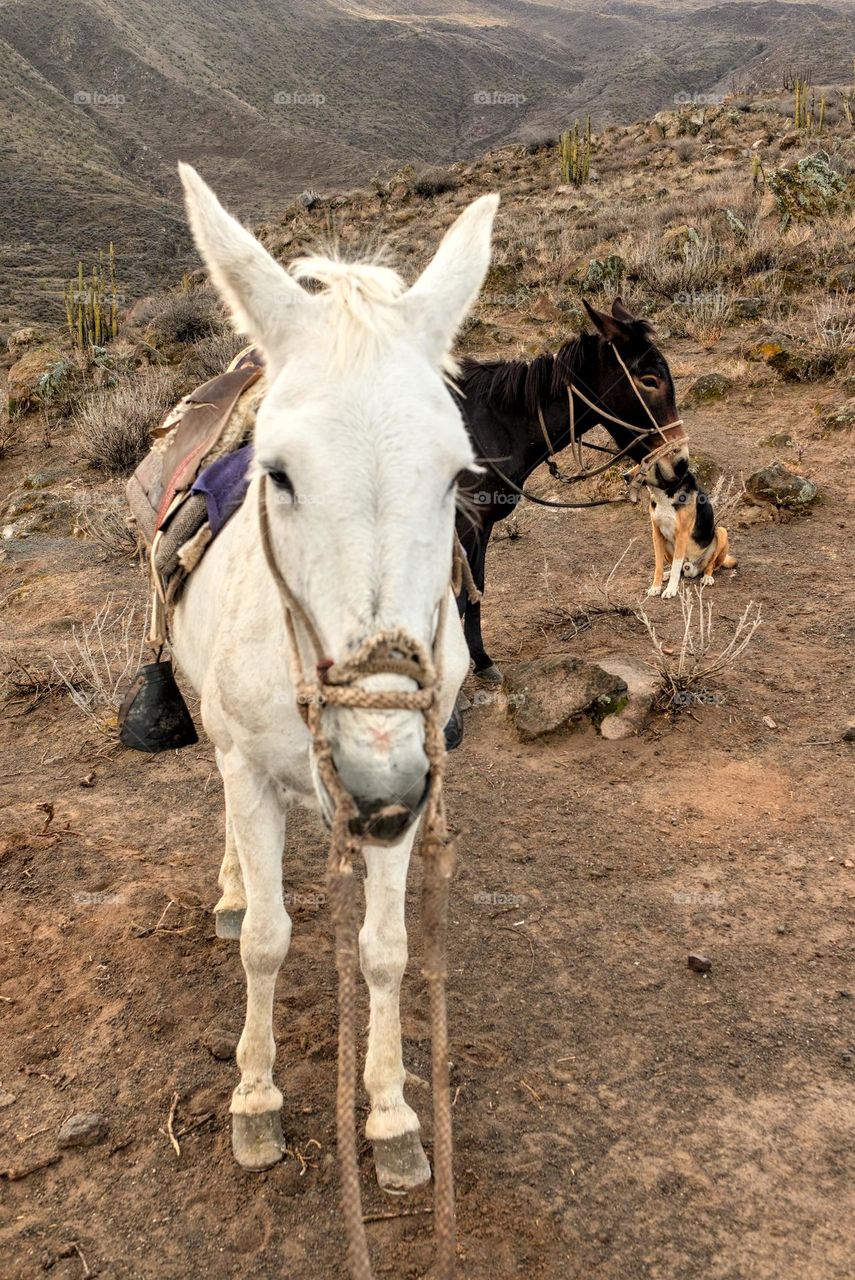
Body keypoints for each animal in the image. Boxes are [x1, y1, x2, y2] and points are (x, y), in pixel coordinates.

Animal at [634, 455, 737, 599]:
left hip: (721, 532)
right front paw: (656, 587)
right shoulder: (657, 534)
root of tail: (692, 568)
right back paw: (667, 573)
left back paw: (707, 577)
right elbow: (659, 566)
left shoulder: (681, 534)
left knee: (710, 565)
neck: (665, 494)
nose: (625, 476)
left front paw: (670, 590)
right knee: (677, 568)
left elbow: (676, 568)